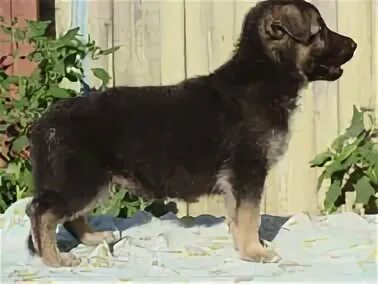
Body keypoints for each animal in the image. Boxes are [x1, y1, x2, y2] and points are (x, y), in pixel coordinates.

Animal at [25, 0, 356, 266]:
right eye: (320, 30)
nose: (354, 45)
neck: (264, 73)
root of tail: (44, 122)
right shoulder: (247, 171)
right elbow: (250, 215)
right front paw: (255, 252)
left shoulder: (237, 180)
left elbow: (238, 216)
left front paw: (244, 245)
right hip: (82, 179)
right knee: (40, 211)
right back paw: (53, 258)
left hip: (91, 181)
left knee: (67, 214)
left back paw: (92, 239)